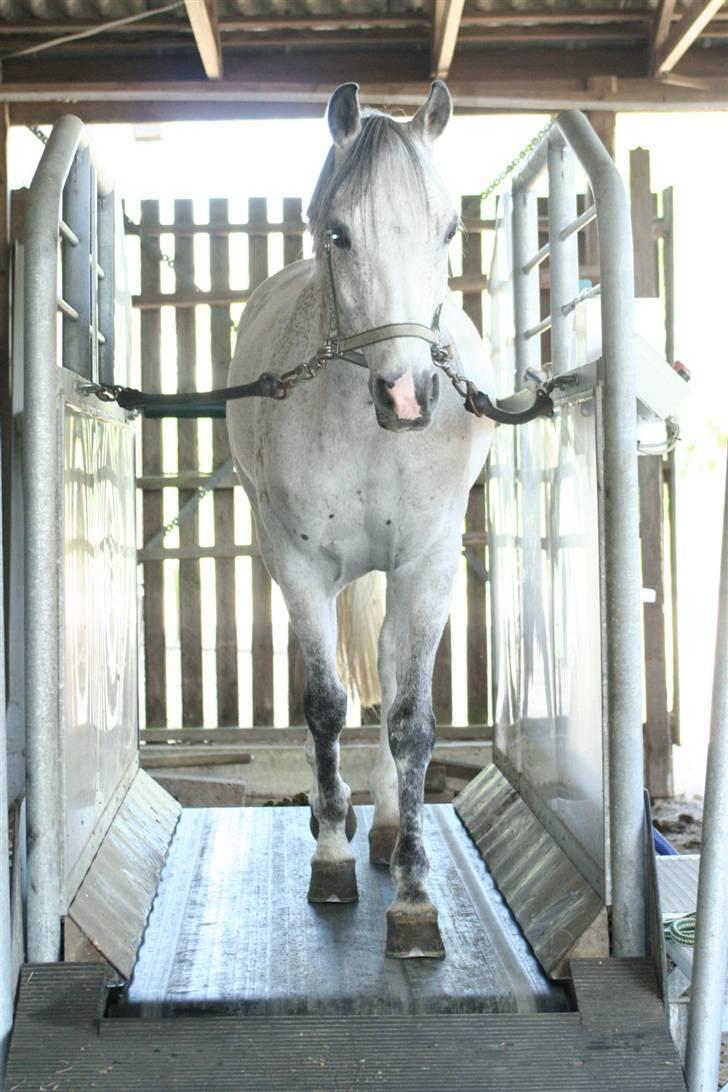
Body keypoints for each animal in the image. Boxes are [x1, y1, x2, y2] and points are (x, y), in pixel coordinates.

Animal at [228, 82, 495, 956]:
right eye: (338, 232)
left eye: (448, 229)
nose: (408, 395)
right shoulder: (299, 567)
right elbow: (325, 707)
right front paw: (330, 859)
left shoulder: (427, 569)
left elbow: (411, 720)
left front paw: (412, 894)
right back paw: (343, 823)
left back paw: (379, 826)